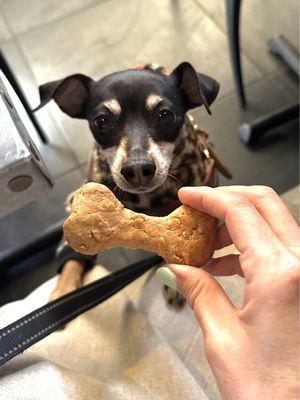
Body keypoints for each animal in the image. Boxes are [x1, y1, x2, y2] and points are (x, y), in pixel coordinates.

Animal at [35, 61, 230, 308]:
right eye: (101, 121)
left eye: (165, 115)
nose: (137, 169)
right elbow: (73, 258)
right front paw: (63, 291)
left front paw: (173, 286)